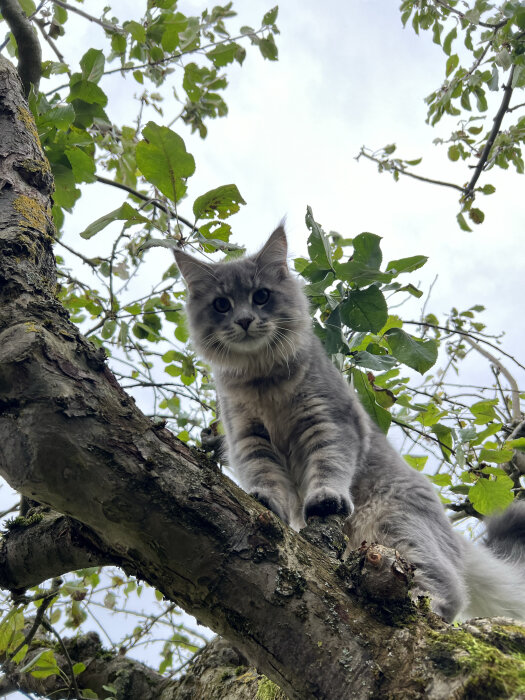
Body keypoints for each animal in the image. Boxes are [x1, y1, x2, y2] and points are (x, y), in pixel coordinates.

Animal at [175, 227, 524, 620]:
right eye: (222, 305)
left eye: (260, 296)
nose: (245, 320)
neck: (262, 379)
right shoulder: (248, 437)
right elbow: (265, 475)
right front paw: (267, 499)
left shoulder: (329, 421)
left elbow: (328, 464)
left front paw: (326, 498)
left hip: (397, 527)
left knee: (445, 591)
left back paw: (425, 606)